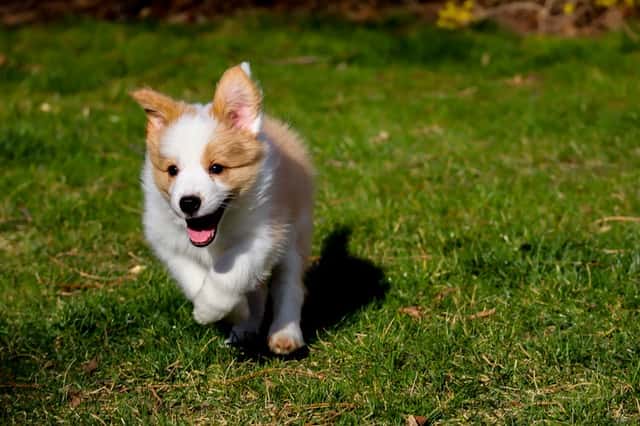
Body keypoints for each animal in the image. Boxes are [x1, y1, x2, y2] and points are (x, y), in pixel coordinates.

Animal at [132, 63, 316, 354]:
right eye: (172, 170)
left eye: (217, 168)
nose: (188, 202)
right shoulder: (168, 242)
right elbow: (194, 279)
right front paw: (235, 311)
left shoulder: (264, 235)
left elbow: (229, 273)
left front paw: (209, 310)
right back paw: (245, 328)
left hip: (296, 234)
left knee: (288, 286)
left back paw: (285, 334)